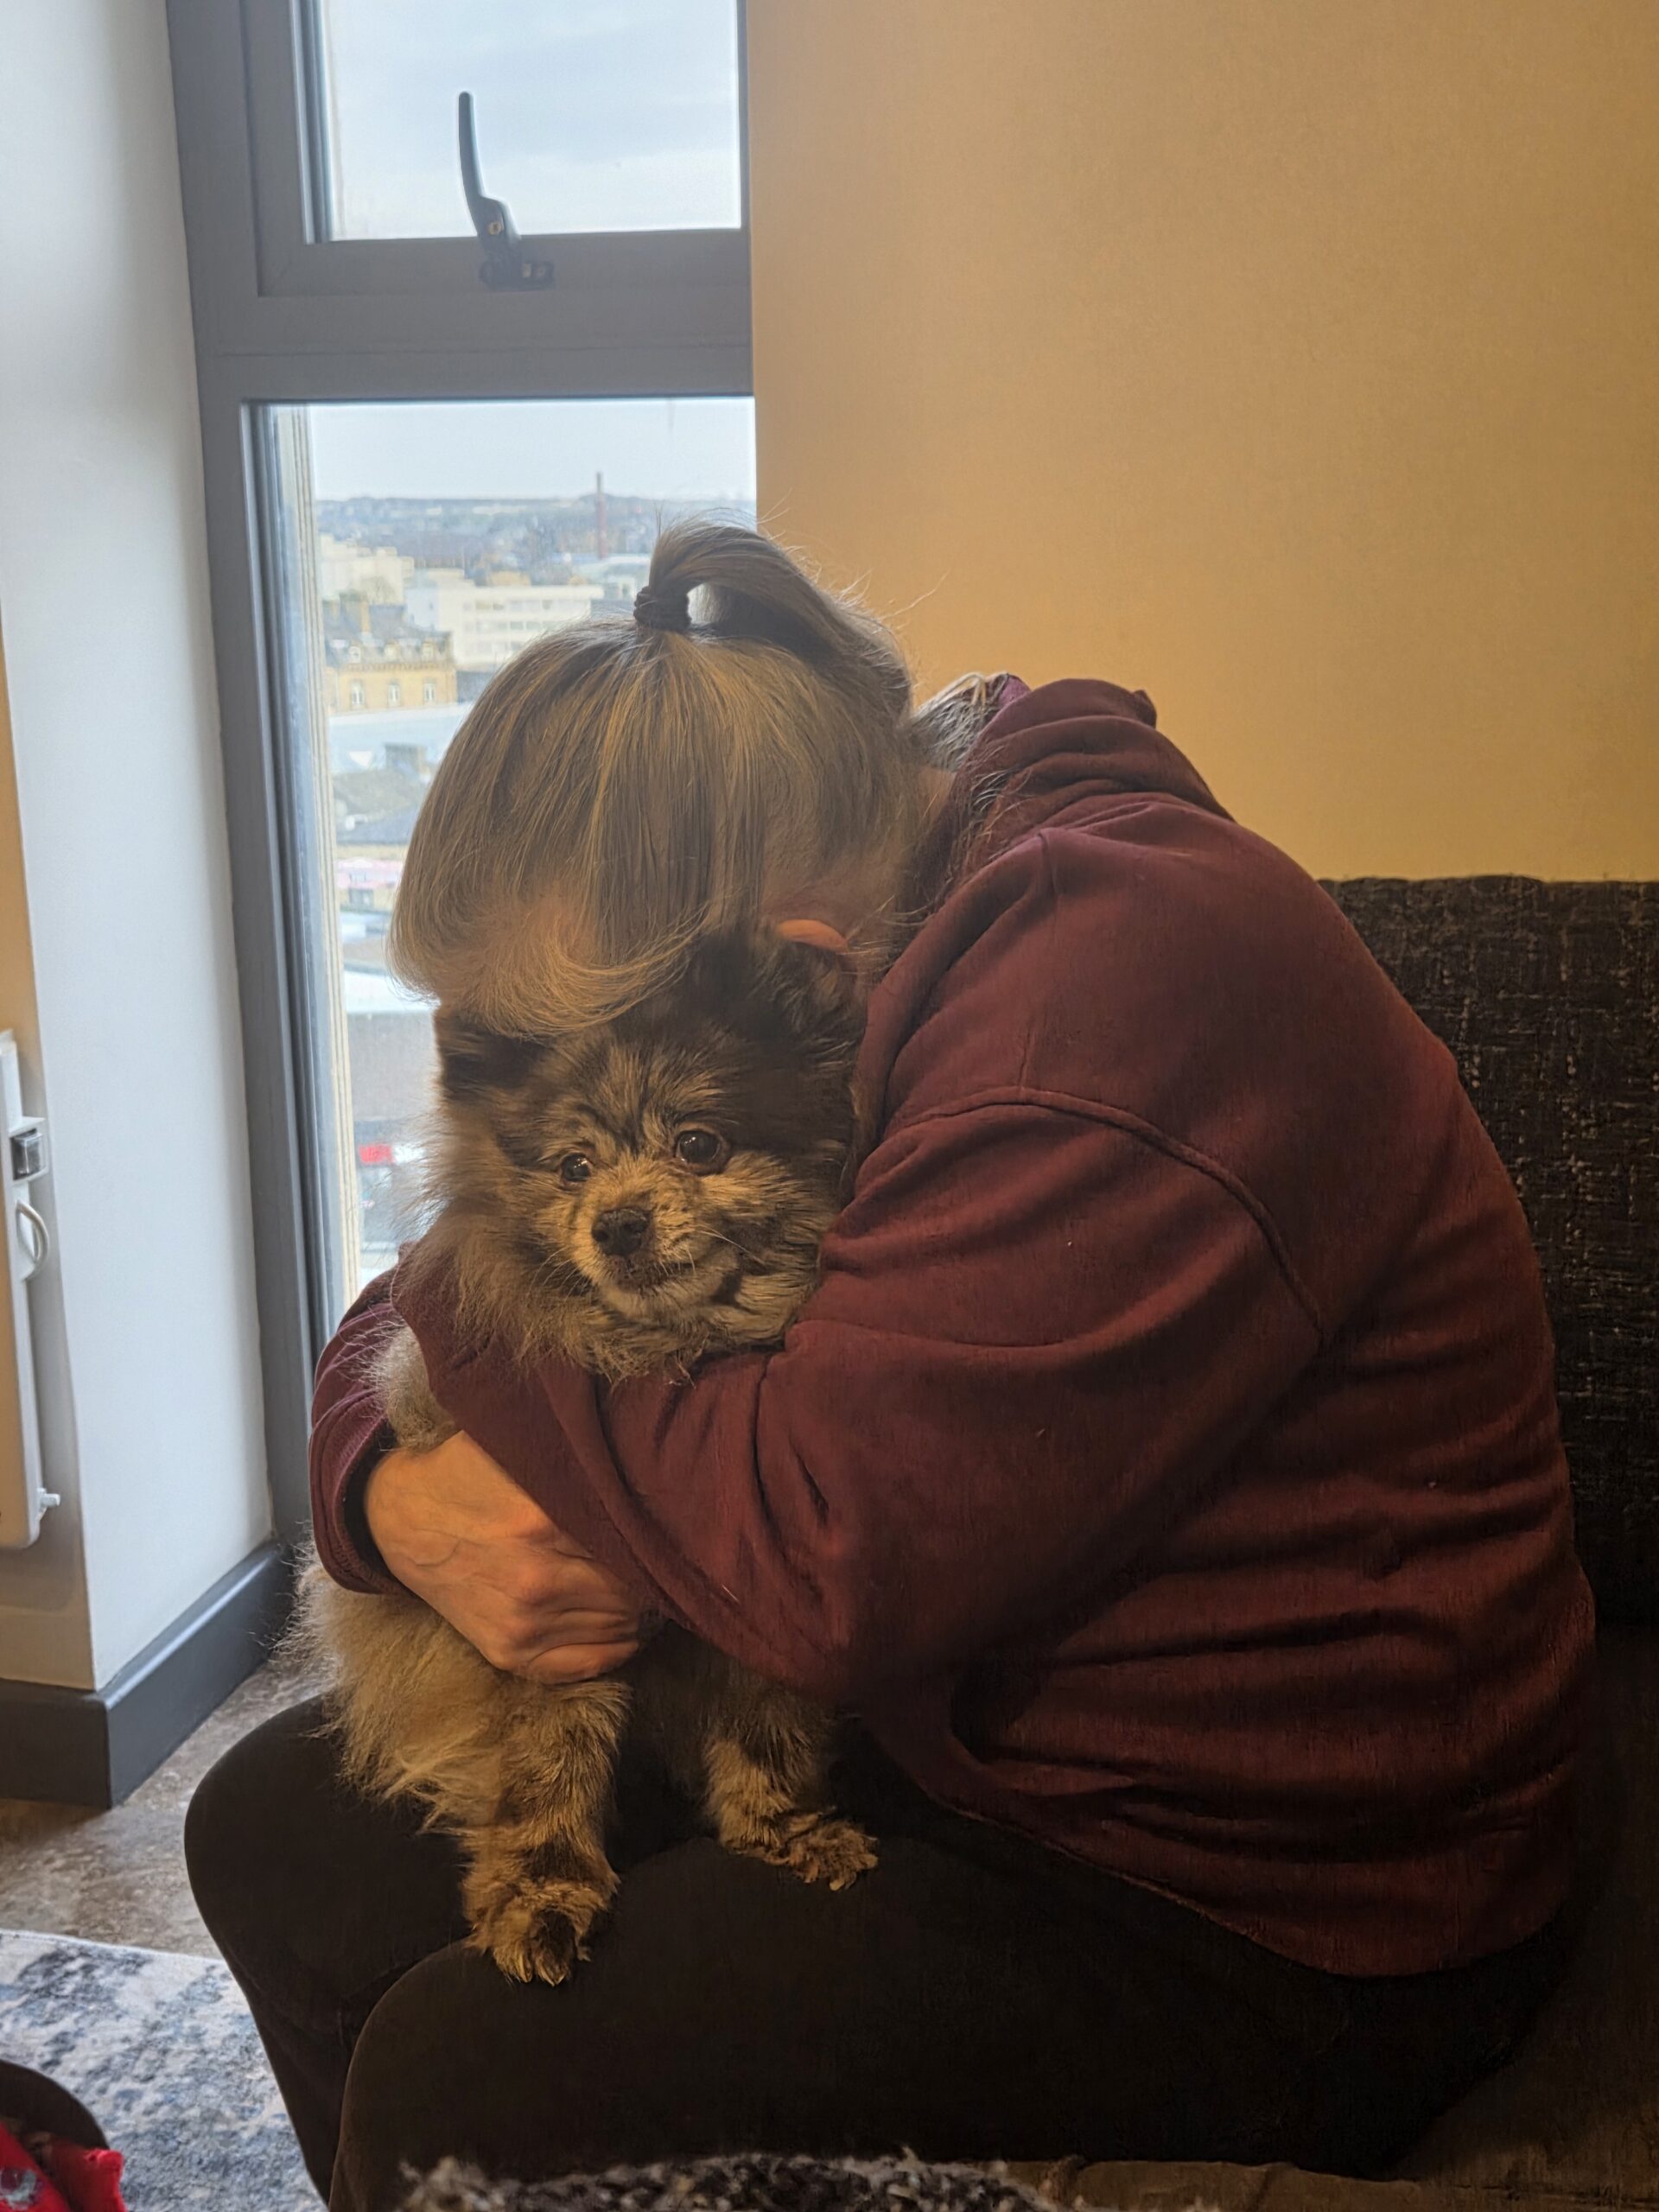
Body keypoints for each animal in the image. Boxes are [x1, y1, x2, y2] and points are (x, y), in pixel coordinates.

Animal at [296, 931, 878, 1985]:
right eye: (572, 1168)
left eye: (700, 1144)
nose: (617, 1222)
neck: (665, 1349)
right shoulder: (543, 1629)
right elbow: (549, 1763)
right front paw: (542, 1891)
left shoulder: (751, 1612)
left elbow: (769, 1725)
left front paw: (783, 1830)